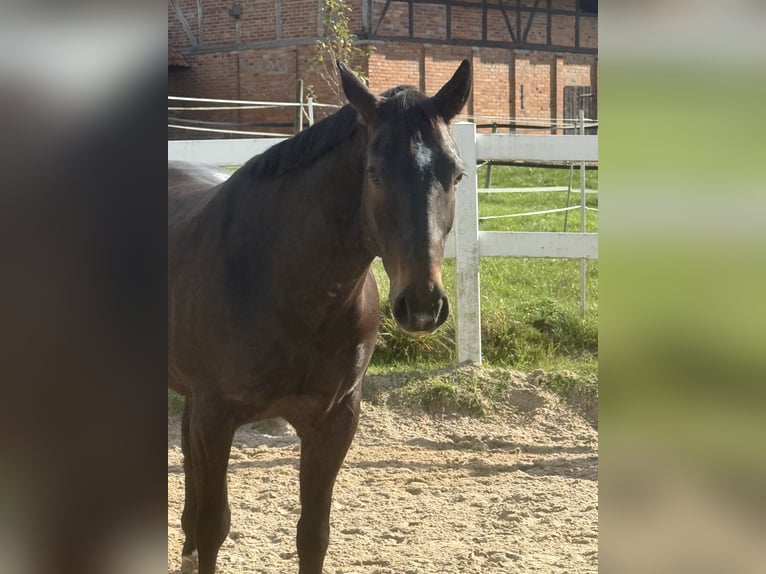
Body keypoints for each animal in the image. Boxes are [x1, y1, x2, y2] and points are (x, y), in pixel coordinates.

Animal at [168, 60, 472, 574]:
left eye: (456, 174)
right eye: (373, 172)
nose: (422, 304)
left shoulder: (334, 421)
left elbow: (313, 534)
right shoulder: (216, 418)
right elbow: (212, 526)